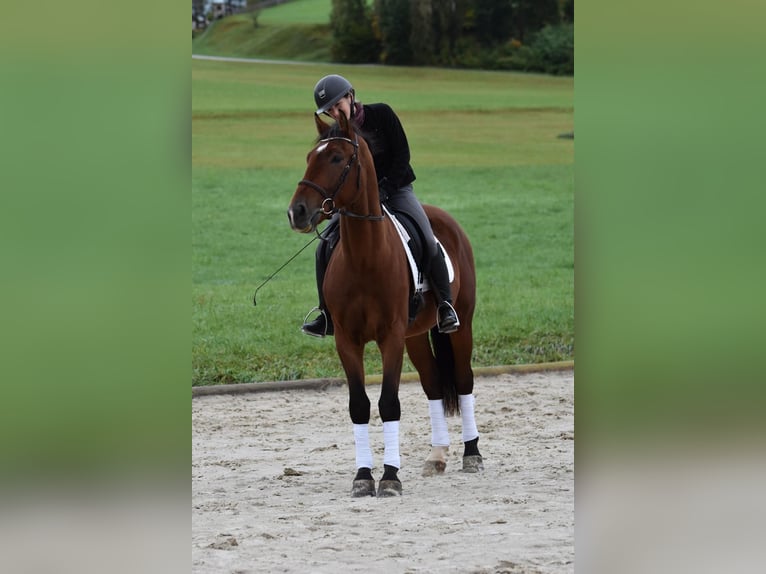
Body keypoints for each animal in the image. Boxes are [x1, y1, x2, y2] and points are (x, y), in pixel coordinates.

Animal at [284, 113, 484, 500]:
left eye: (336, 158)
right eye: (309, 157)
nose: (297, 212)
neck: (365, 257)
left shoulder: (390, 337)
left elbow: (389, 403)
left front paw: (390, 476)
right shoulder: (347, 341)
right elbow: (359, 406)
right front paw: (363, 475)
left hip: (461, 324)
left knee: (464, 379)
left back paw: (472, 453)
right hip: (415, 335)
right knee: (433, 385)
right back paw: (437, 456)